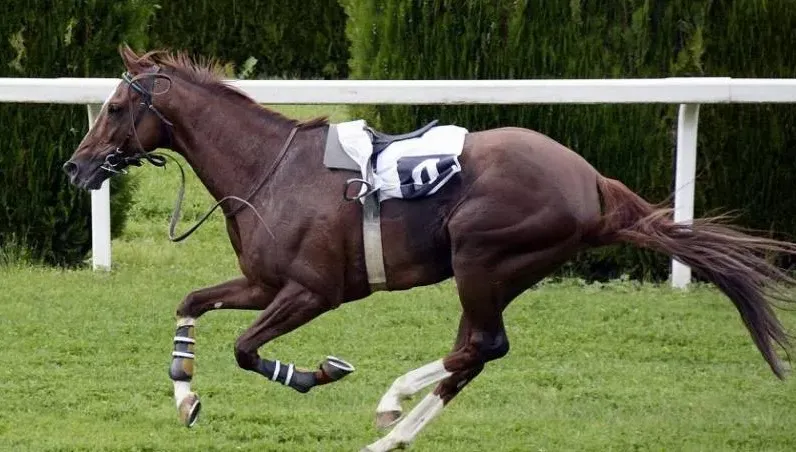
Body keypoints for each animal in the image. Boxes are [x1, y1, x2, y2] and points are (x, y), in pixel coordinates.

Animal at [64, 45, 796, 451]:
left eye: (116, 108)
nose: (76, 167)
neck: (267, 168)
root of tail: (593, 182)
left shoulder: (312, 292)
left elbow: (246, 349)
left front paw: (316, 372)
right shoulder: (264, 284)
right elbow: (190, 304)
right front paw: (185, 398)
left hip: (482, 257)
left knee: (479, 346)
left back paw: (390, 410)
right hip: (495, 271)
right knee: (473, 353)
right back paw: (392, 431)